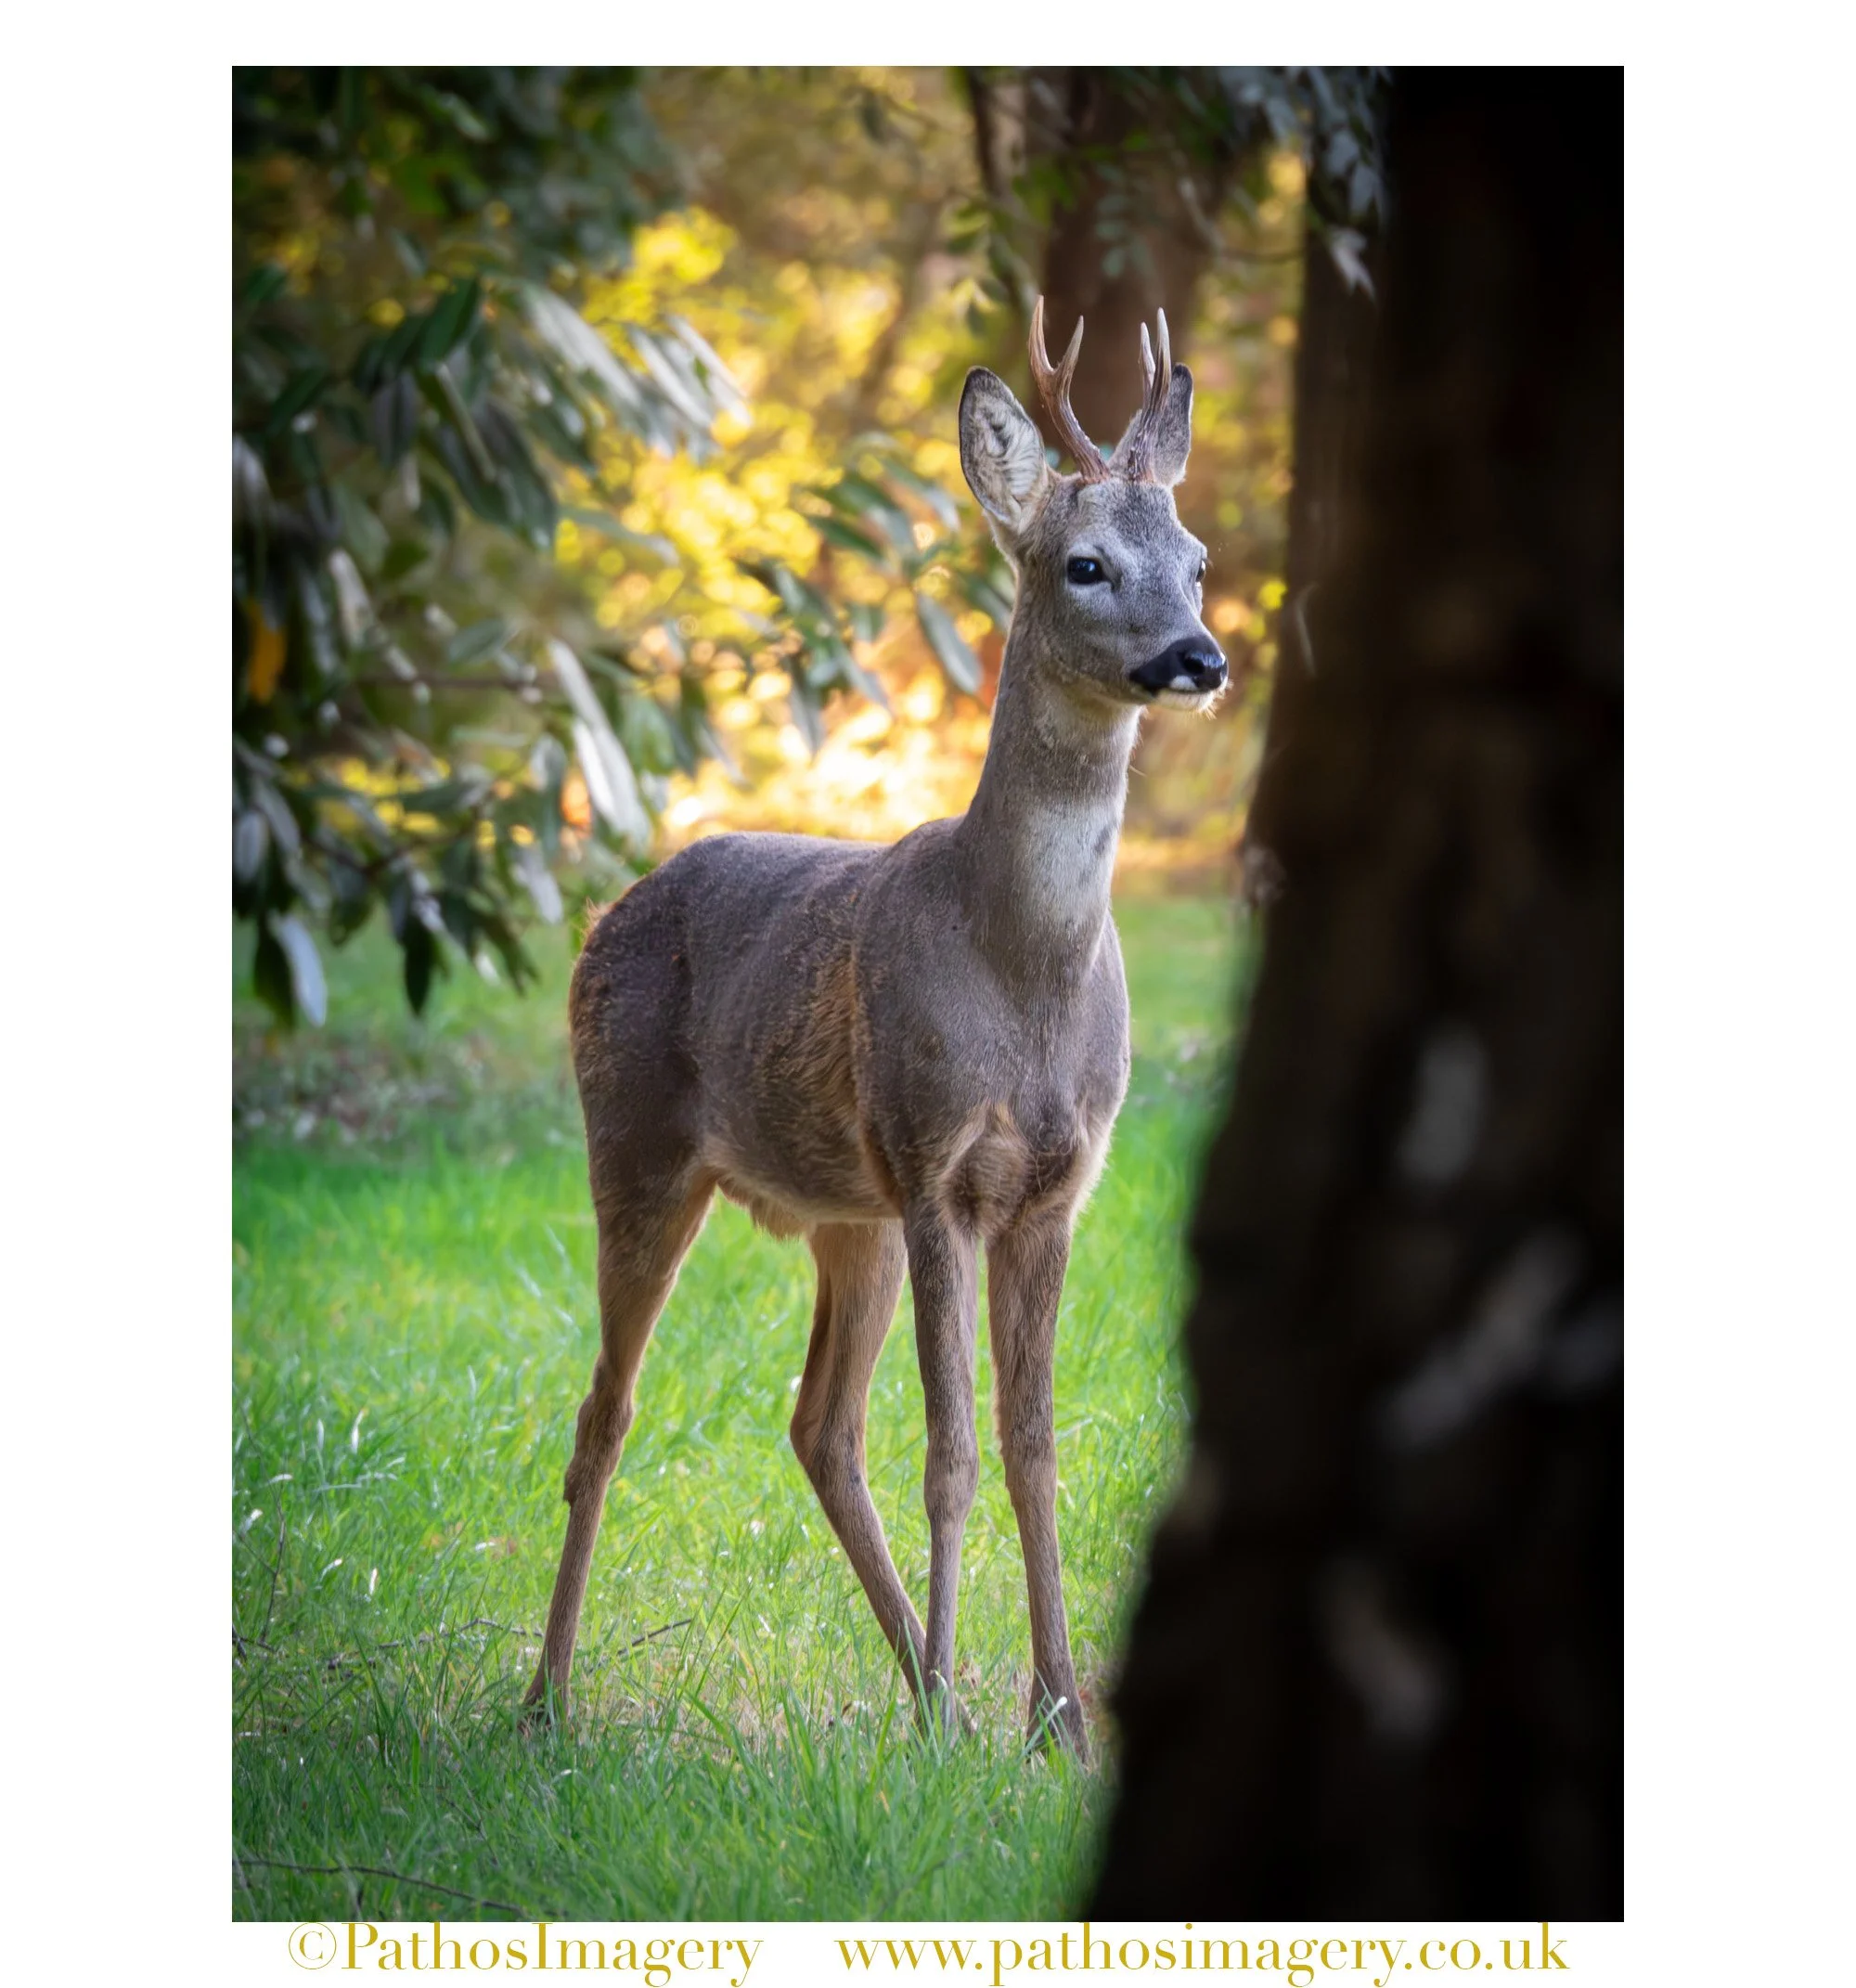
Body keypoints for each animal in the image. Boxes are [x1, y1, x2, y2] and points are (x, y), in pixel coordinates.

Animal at [523, 300, 1226, 1760]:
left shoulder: (1056, 1186)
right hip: (639, 1143)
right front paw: (986, 1712)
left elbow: (1032, 1444)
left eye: (1195, 559)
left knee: (820, 1425)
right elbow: (950, 1452)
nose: (1200, 656)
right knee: (607, 1410)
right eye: (1083, 563)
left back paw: (926, 1687)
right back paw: (548, 1699)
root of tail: (613, 904)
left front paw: (1057, 1718)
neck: (1020, 973)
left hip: (845, 1216)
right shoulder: (934, 1160)